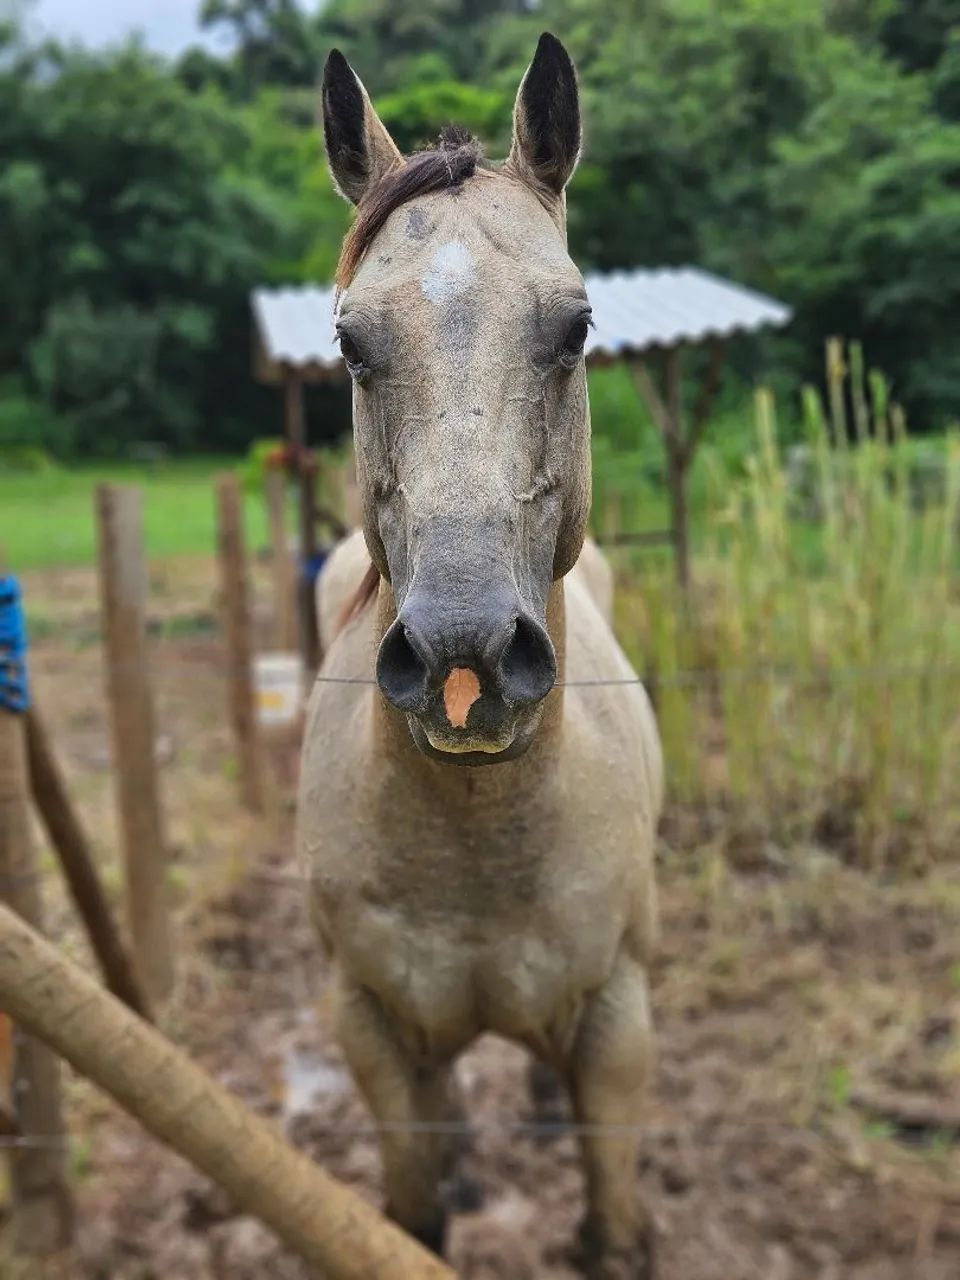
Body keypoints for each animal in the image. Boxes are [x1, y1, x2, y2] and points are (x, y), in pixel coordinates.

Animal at [297, 34, 663, 1279]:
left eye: (576, 328)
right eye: (351, 342)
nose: (467, 654)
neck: (477, 845)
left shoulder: (616, 1018)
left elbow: (613, 1216)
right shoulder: (369, 1023)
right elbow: (413, 1212)